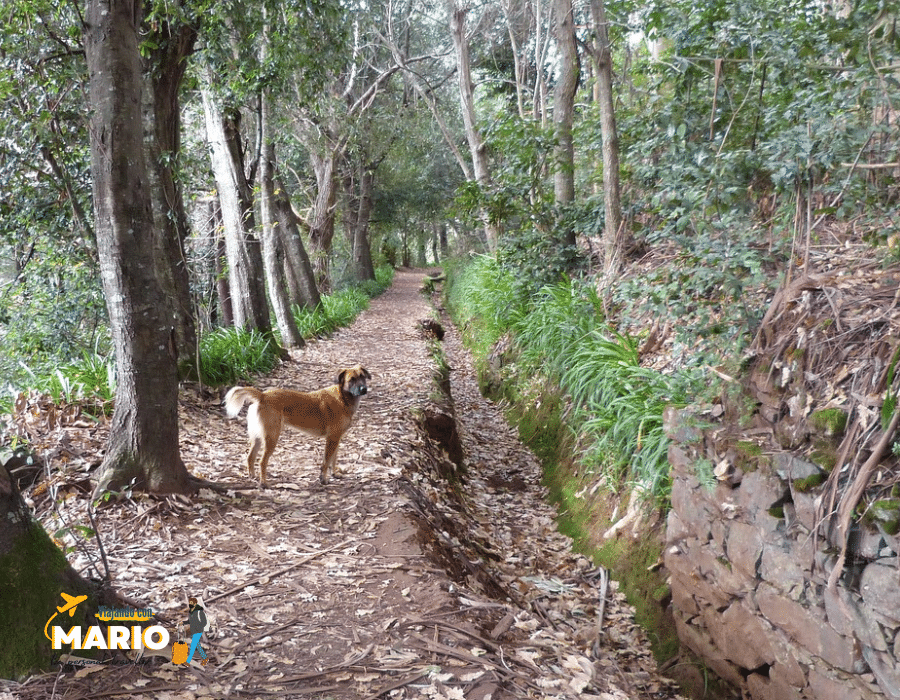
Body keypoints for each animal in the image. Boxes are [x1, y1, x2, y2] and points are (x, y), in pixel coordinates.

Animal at [227, 366, 370, 486]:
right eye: (352, 380)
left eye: (362, 377)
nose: (364, 389)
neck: (343, 397)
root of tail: (263, 395)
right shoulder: (332, 439)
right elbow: (326, 462)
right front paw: (323, 479)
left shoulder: (336, 438)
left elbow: (333, 459)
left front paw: (334, 474)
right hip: (272, 437)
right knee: (262, 462)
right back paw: (264, 483)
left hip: (258, 437)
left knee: (250, 457)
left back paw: (252, 476)